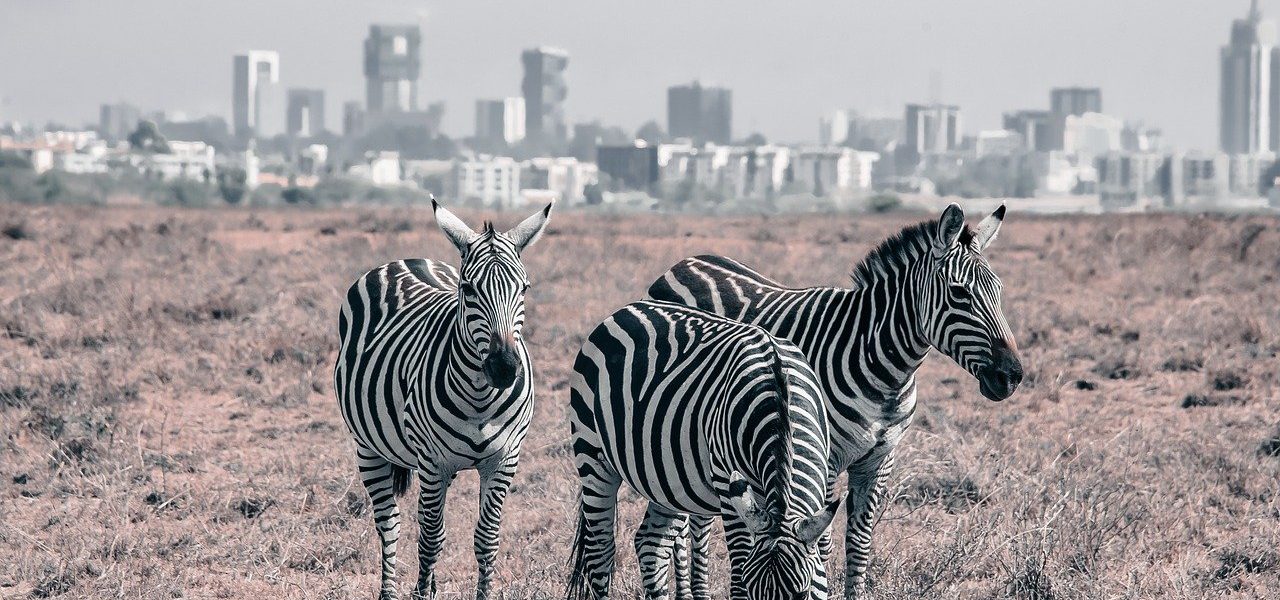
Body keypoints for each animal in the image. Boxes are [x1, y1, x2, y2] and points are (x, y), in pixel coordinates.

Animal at [334, 199, 553, 600]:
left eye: (525, 288)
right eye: (468, 289)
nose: (503, 368)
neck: (481, 397)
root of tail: (407, 260)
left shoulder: (504, 459)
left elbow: (487, 538)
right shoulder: (433, 462)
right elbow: (431, 537)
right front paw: (421, 593)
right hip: (368, 447)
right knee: (390, 522)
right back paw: (389, 591)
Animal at [565, 300, 843, 600]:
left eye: (801, 594)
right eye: (752, 591)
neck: (780, 401)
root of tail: (627, 308)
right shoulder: (727, 485)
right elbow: (739, 567)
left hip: (667, 479)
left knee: (651, 544)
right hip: (592, 455)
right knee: (600, 553)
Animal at [644, 203, 1024, 598]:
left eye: (999, 290)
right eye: (959, 293)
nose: (1011, 376)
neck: (882, 364)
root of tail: (686, 262)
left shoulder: (878, 461)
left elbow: (859, 544)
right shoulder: (823, 458)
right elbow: (821, 540)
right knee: (691, 526)